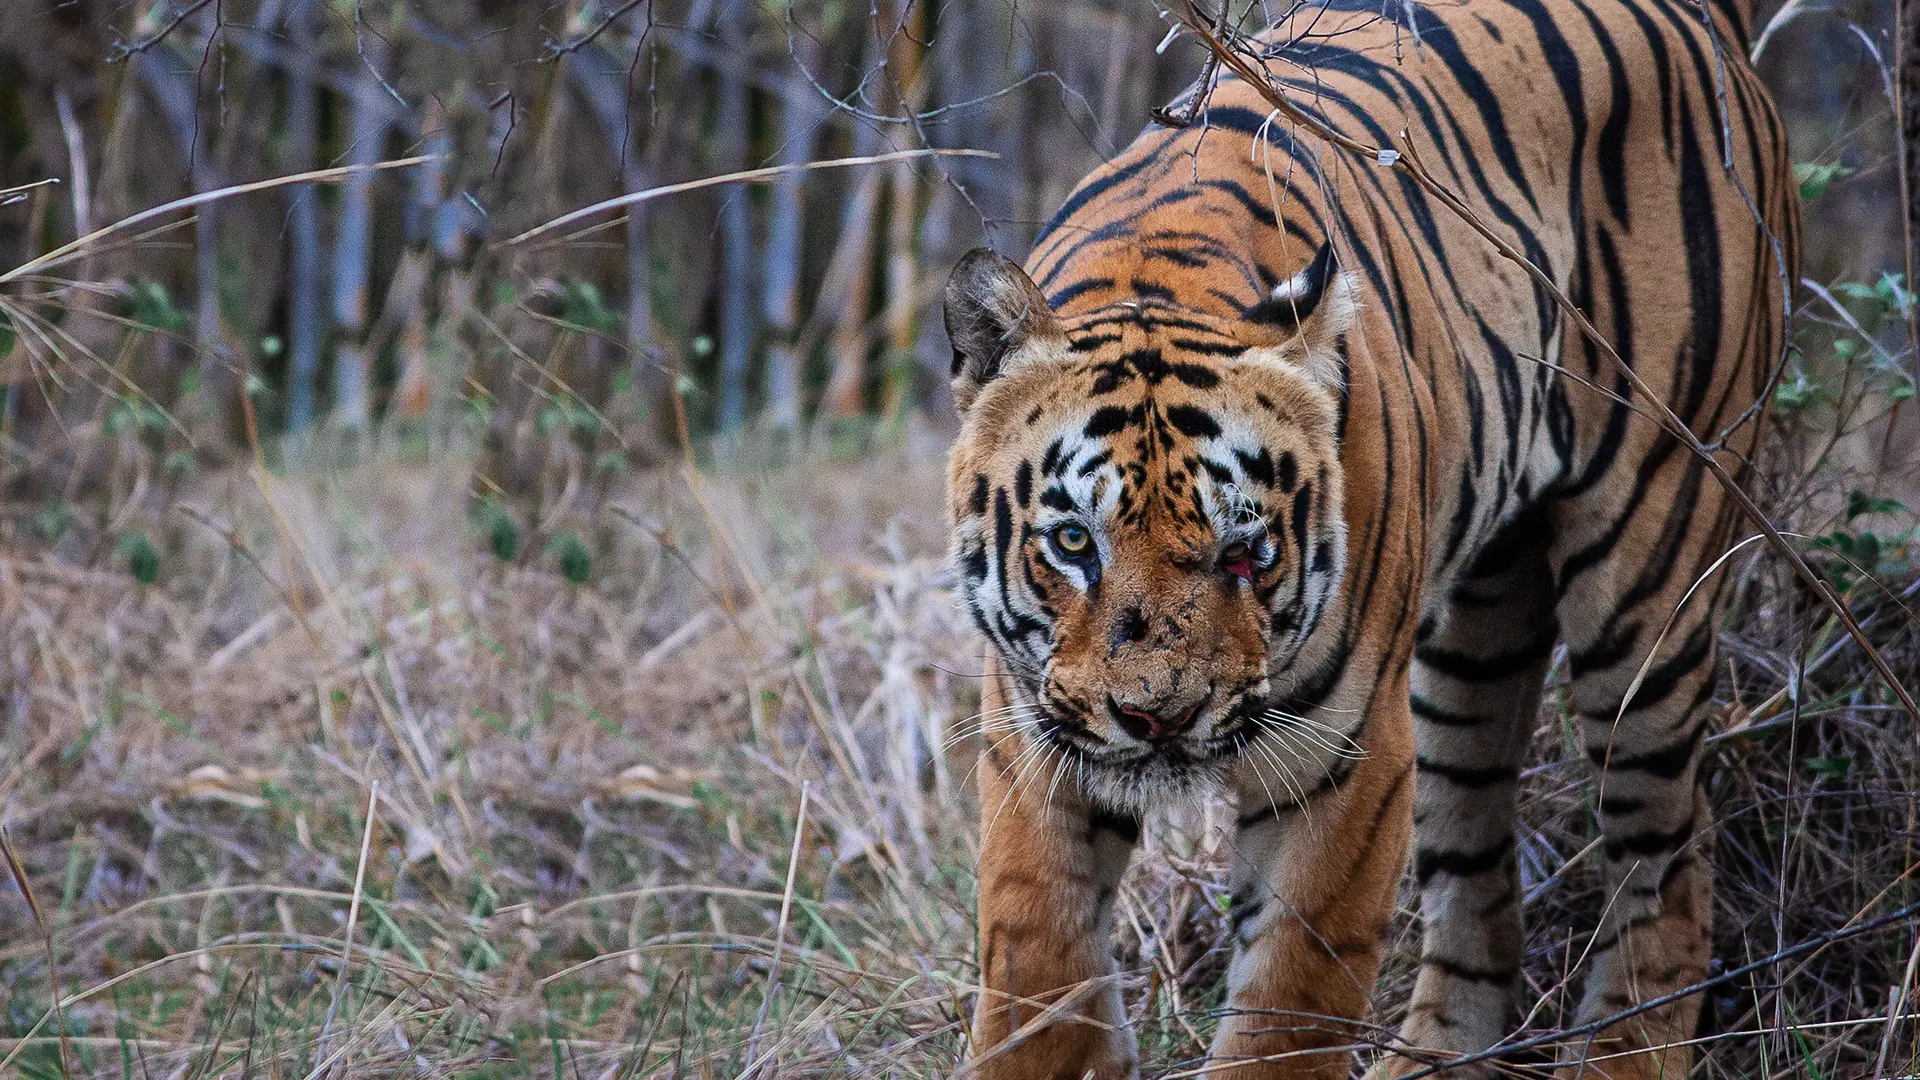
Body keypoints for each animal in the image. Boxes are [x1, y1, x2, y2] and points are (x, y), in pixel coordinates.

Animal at [940, 0, 1797, 1077]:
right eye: (1071, 543)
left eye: (1244, 552)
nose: (1159, 720)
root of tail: (1707, 21)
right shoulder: (1032, 739)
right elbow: (1037, 976)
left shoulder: (1341, 765)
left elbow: (1286, 1015)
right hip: (1471, 654)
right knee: (1477, 876)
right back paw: (1433, 1056)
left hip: (1647, 583)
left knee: (1671, 847)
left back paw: (1624, 1053)